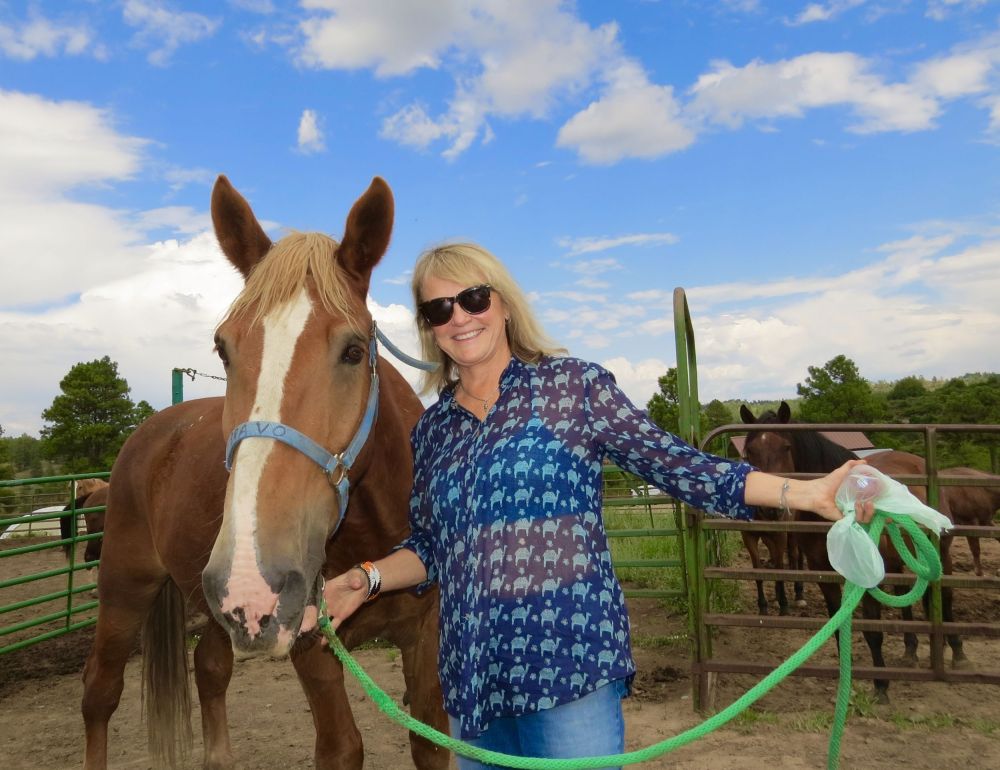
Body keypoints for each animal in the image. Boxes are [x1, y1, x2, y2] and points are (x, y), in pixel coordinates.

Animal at [81, 176, 448, 770]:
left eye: (353, 350)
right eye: (222, 349)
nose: (256, 580)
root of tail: (152, 430)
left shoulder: (425, 636)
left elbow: (432, 741)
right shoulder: (308, 643)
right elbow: (342, 747)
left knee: (209, 669)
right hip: (124, 588)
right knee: (100, 692)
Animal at [740, 401, 966, 703]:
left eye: (786, 447)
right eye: (749, 451)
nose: (767, 510)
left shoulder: (863, 575)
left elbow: (873, 631)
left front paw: (880, 686)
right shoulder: (823, 573)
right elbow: (837, 627)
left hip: (940, 554)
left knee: (947, 598)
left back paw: (957, 652)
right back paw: (911, 650)